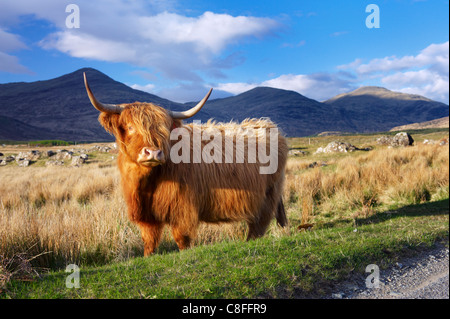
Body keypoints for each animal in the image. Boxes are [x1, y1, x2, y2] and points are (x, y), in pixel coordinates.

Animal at [83, 73, 288, 258]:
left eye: (165, 130)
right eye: (131, 127)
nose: (154, 153)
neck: (147, 183)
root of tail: (266, 125)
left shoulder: (183, 208)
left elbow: (182, 239)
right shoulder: (146, 214)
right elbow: (149, 242)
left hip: (267, 196)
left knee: (258, 227)